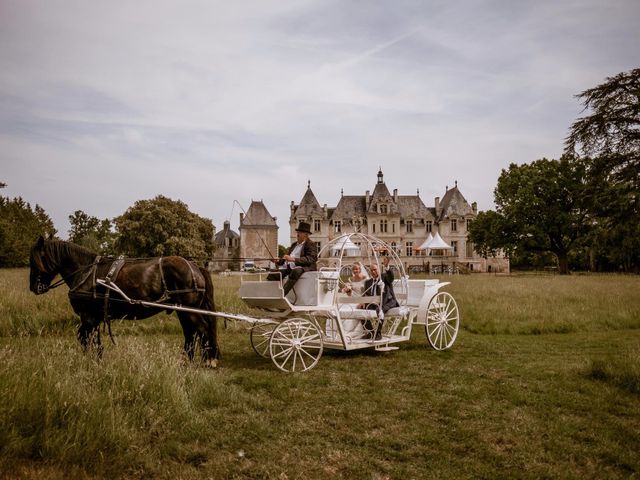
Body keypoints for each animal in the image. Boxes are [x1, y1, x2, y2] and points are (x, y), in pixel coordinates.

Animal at [28, 236, 220, 368]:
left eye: (35, 260)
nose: (33, 287)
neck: (86, 272)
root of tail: (195, 267)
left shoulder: (88, 317)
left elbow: (86, 339)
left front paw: (91, 363)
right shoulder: (94, 318)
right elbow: (92, 340)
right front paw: (96, 361)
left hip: (189, 311)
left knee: (201, 330)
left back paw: (207, 361)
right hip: (183, 311)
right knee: (190, 333)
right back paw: (185, 361)